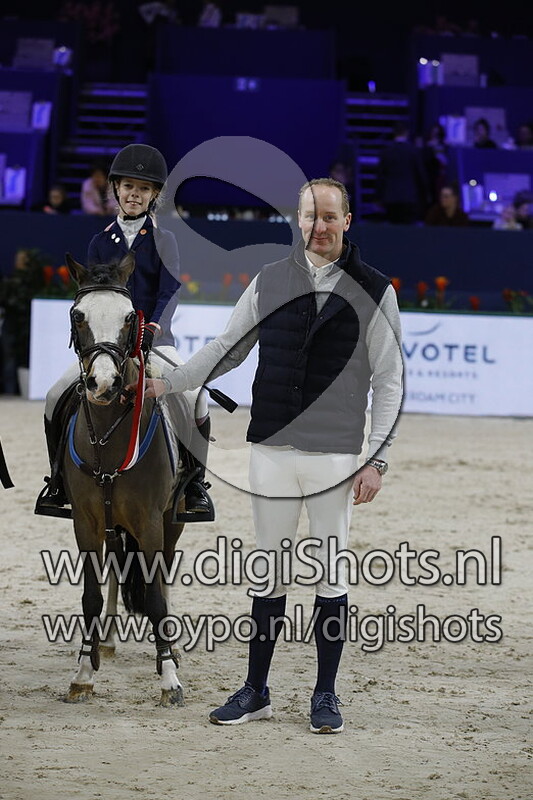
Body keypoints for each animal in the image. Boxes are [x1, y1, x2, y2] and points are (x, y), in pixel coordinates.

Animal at [61, 252, 185, 706]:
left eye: (130, 317)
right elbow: (90, 596)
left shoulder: (150, 521)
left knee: (162, 574)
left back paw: (172, 649)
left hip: (171, 521)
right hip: (114, 525)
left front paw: (169, 680)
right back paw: (108, 641)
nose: (103, 383)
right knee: (116, 567)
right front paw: (83, 672)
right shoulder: (86, 522)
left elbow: (154, 596)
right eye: (77, 315)